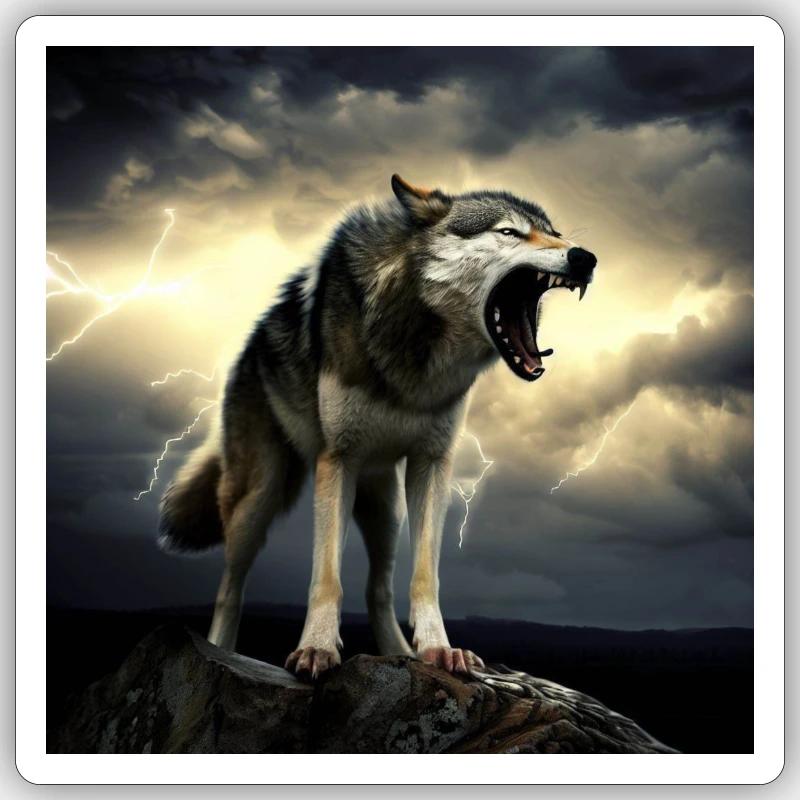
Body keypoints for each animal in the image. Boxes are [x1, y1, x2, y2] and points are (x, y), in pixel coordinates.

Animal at [158, 175, 597, 677]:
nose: (586, 257)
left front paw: (438, 649)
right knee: (230, 587)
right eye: (509, 232)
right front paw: (316, 649)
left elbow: (424, 576)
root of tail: (249, 348)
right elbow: (326, 576)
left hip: (385, 509)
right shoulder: (338, 460)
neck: (415, 356)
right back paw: (221, 651)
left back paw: (399, 653)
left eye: (556, 233)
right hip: (258, 499)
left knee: (378, 588)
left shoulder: (431, 464)